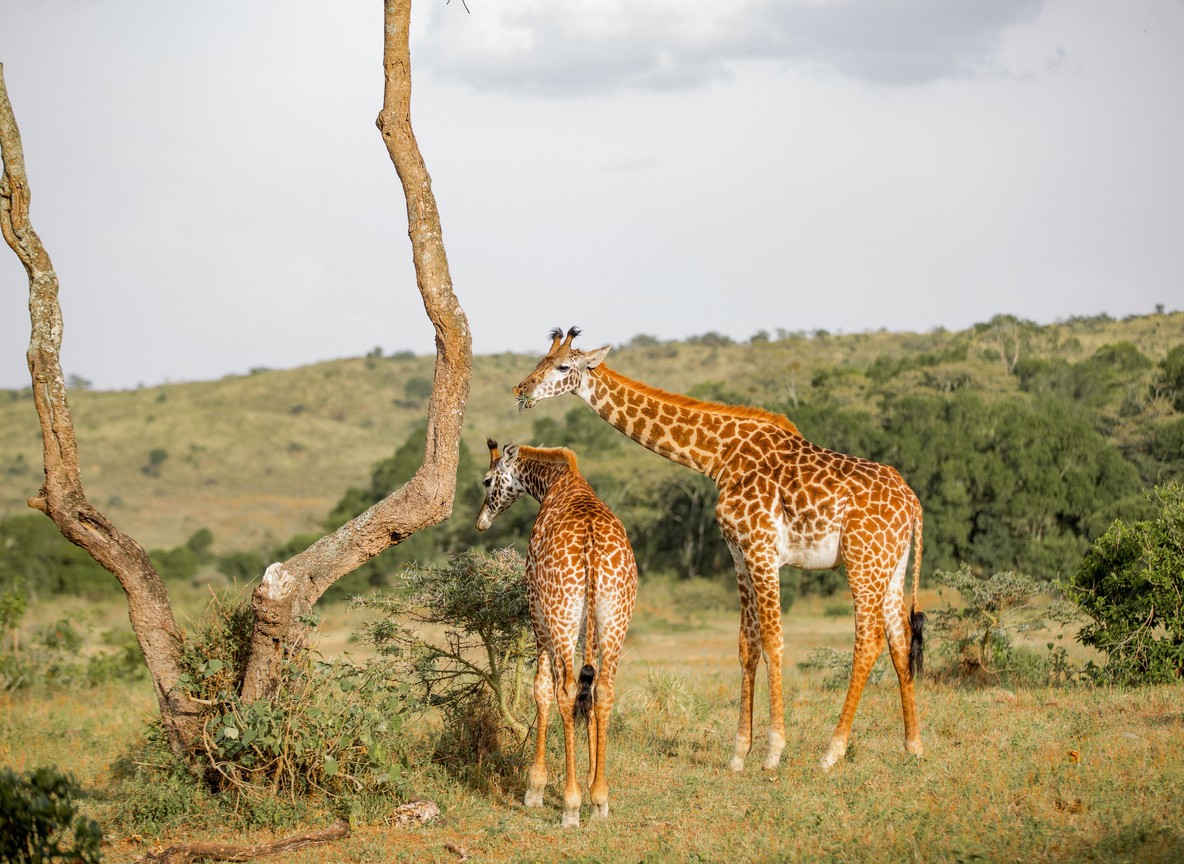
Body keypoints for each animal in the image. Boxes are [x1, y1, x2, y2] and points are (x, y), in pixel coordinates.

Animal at [476, 439, 638, 827]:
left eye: (487, 481)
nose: (481, 522)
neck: (555, 484)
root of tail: (592, 550)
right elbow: (588, 691)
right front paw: (594, 786)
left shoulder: (536, 609)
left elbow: (540, 687)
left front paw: (534, 788)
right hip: (615, 616)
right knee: (603, 689)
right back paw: (599, 798)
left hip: (558, 614)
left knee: (564, 690)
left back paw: (570, 805)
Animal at [513, 327, 925, 772]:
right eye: (540, 360)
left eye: (563, 366)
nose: (522, 390)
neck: (719, 456)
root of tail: (913, 503)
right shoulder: (738, 552)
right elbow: (747, 644)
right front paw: (739, 752)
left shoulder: (762, 548)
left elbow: (774, 641)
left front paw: (773, 750)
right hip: (891, 566)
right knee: (900, 639)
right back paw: (913, 744)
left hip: (862, 562)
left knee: (868, 642)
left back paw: (832, 751)